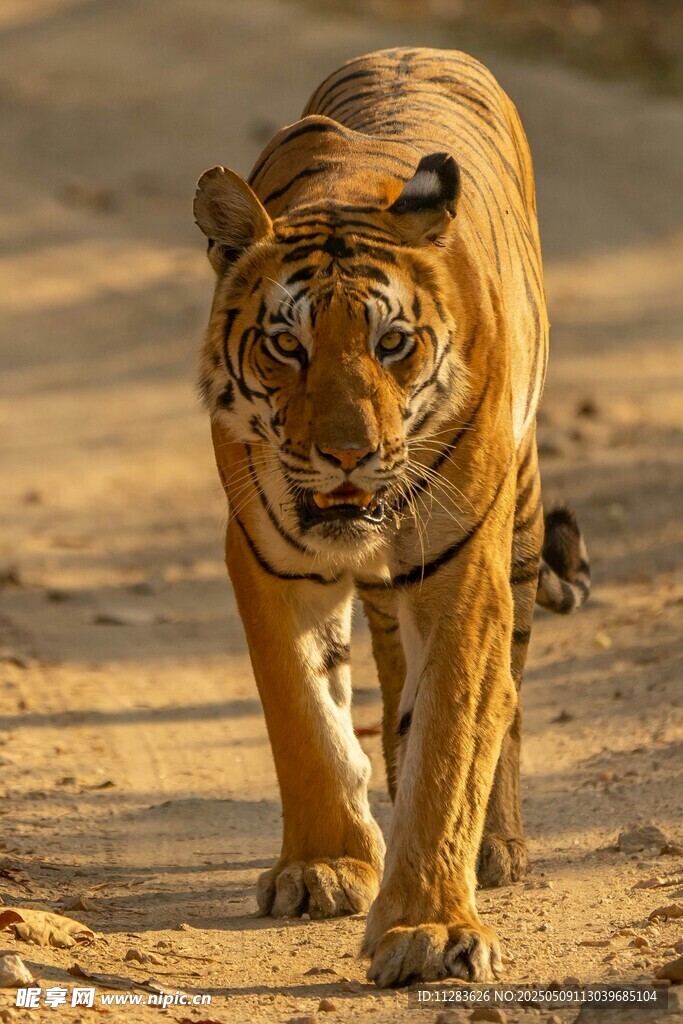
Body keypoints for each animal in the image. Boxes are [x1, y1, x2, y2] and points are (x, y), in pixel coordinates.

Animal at [193, 47, 590, 987]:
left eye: (391, 344)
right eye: (286, 344)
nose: (347, 453)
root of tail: (420, 48)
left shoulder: (466, 572)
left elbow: (453, 733)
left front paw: (430, 927)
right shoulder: (267, 558)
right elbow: (302, 713)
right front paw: (323, 865)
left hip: (520, 525)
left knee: (506, 689)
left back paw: (497, 847)